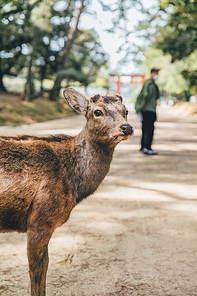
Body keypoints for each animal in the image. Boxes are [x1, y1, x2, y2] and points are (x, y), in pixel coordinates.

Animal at [0, 88, 134, 296]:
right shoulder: (40, 220)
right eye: (97, 111)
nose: (127, 128)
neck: (73, 184)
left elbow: (46, 265)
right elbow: (37, 269)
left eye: (126, 110)